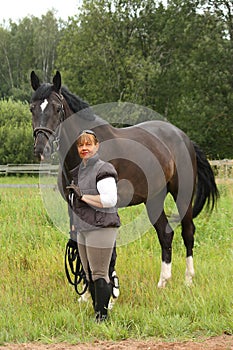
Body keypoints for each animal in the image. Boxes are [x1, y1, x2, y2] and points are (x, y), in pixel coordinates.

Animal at [30, 70, 218, 288]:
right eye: (32, 108)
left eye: (58, 108)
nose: (42, 148)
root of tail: (182, 137)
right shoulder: (74, 207)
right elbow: (80, 245)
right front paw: (85, 292)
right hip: (153, 199)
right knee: (165, 234)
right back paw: (163, 282)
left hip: (183, 194)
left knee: (188, 231)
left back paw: (188, 280)